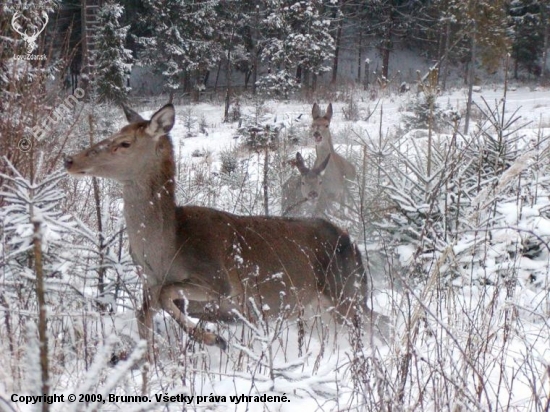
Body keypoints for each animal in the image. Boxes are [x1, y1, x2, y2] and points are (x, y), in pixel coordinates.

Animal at [63, 104, 376, 350]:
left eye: (125, 142)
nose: (70, 159)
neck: (164, 252)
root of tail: (352, 245)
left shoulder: (217, 282)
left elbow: (167, 297)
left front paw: (214, 339)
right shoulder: (148, 283)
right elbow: (144, 317)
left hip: (346, 292)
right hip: (330, 304)